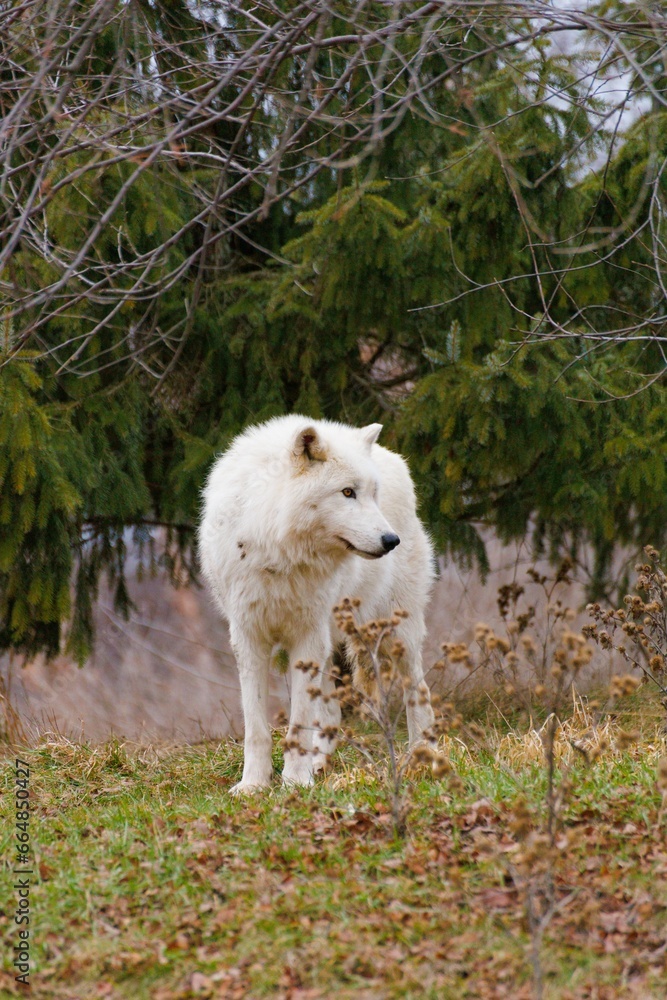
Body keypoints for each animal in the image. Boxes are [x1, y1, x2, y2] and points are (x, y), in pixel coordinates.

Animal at [199, 415, 435, 793]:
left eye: (373, 494)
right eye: (348, 492)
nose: (391, 540)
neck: (277, 550)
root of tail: (394, 457)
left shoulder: (307, 638)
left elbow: (298, 720)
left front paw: (295, 782)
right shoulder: (249, 638)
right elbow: (256, 727)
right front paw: (253, 785)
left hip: (395, 633)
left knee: (419, 689)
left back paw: (423, 758)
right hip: (330, 641)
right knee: (333, 714)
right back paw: (320, 763)